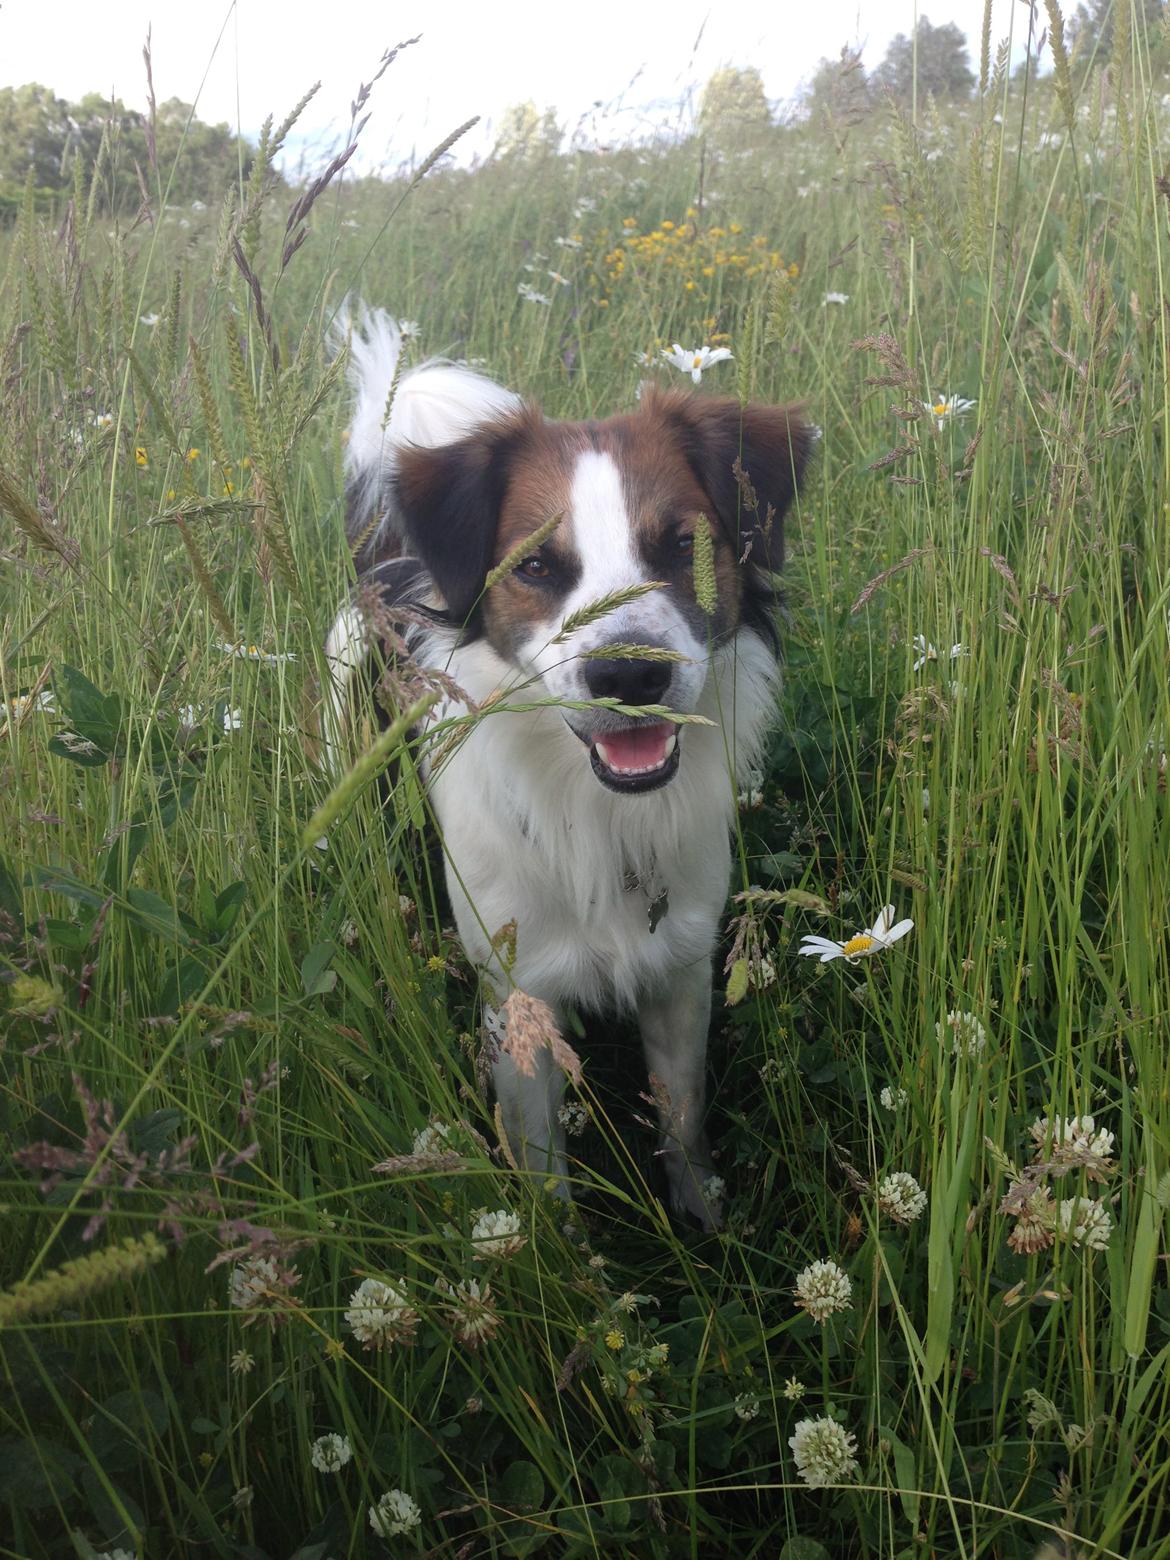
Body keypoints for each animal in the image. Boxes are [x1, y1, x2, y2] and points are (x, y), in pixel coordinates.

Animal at [326, 307, 811, 1229]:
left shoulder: (681, 969)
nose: (630, 676)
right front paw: (559, 1258)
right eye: (538, 567)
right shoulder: (519, 1002)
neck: (596, 816)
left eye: (682, 546)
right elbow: (545, 1169)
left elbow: (682, 1113)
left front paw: (703, 1225)